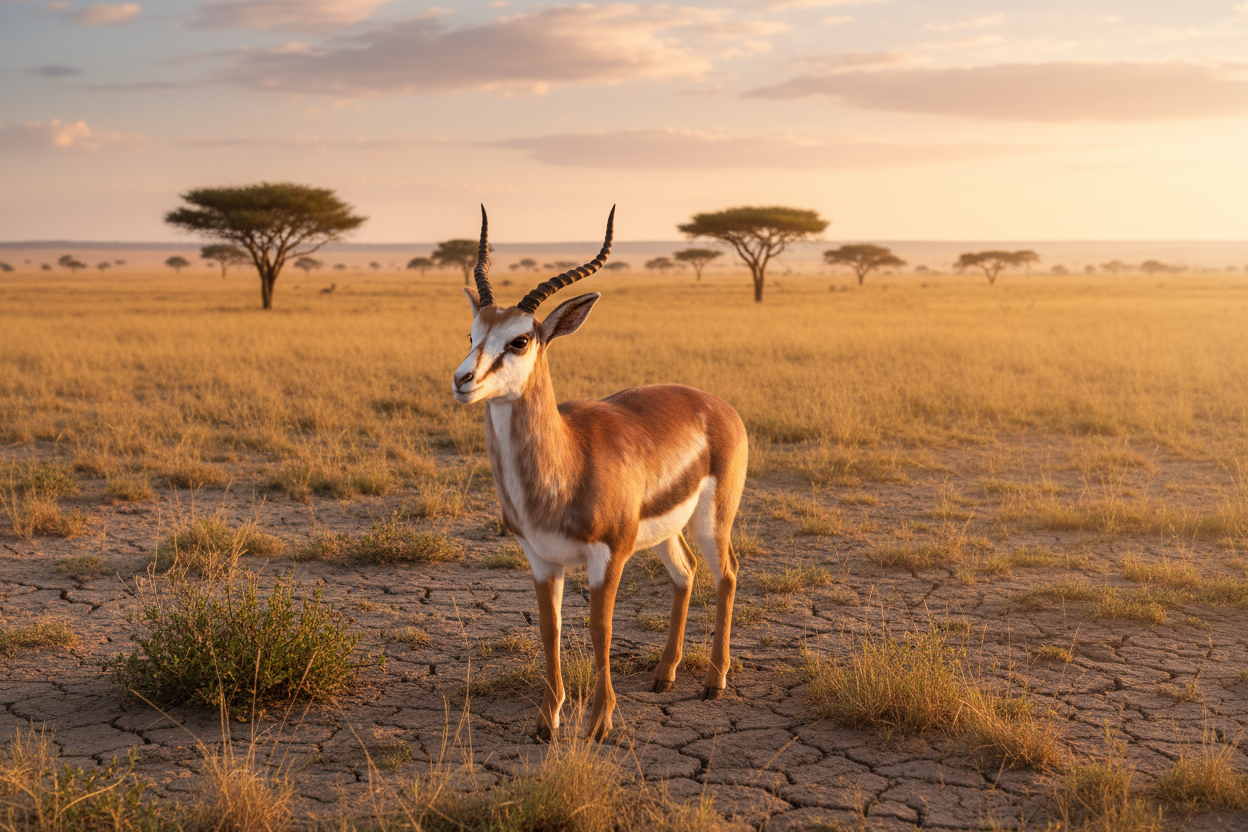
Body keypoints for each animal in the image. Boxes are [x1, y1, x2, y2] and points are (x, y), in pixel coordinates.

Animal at [452, 206, 748, 740]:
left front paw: (598, 724)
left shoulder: (607, 557)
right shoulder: (541, 560)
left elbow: (600, 630)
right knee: (686, 573)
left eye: (520, 340)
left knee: (727, 573)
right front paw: (547, 721)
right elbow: (549, 630)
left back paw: (714, 683)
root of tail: (717, 404)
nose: (463, 380)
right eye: (471, 335)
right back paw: (664, 675)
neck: (566, 463)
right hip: (665, 533)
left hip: (713, 521)